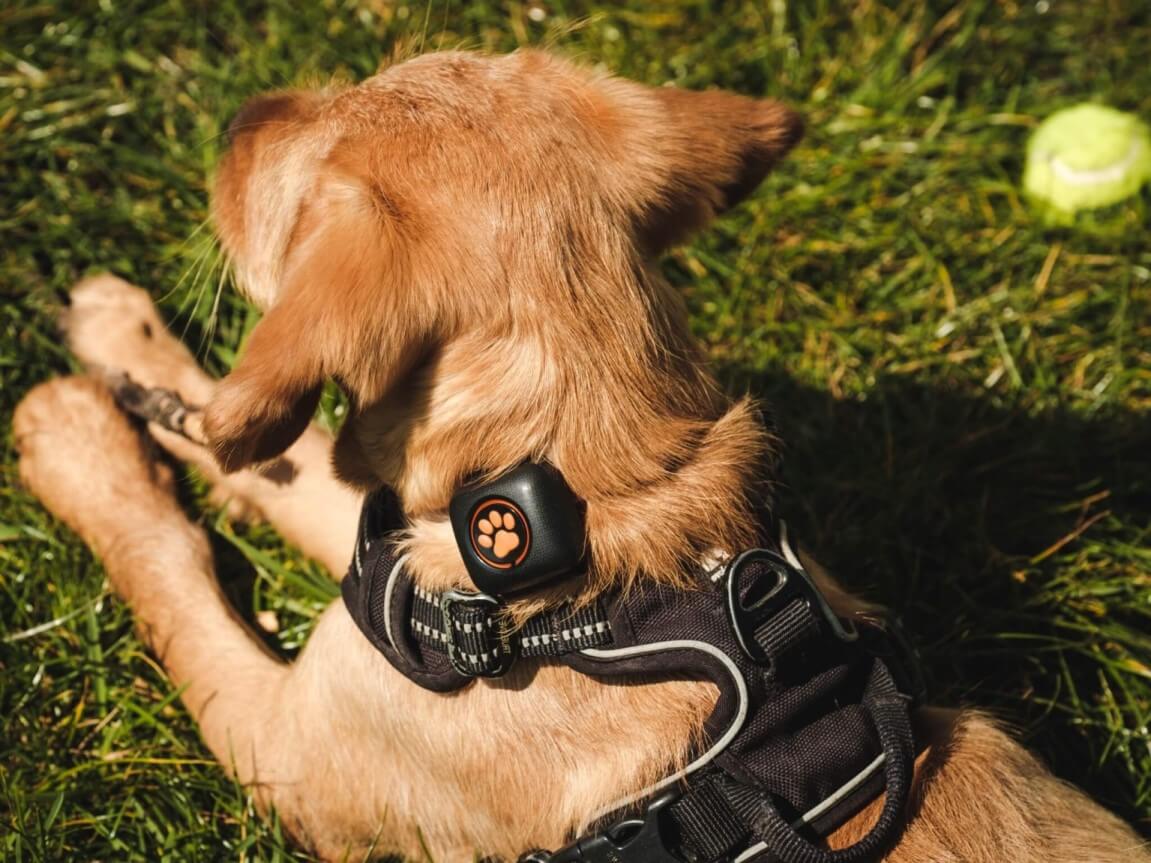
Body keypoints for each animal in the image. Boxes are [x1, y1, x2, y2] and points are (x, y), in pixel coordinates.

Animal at [11, 48, 1151, 863]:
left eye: (280, 187)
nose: (241, 114)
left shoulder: (290, 749)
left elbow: (172, 572)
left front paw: (78, 447)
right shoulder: (394, 548)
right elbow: (268, 462)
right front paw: (128, 346)